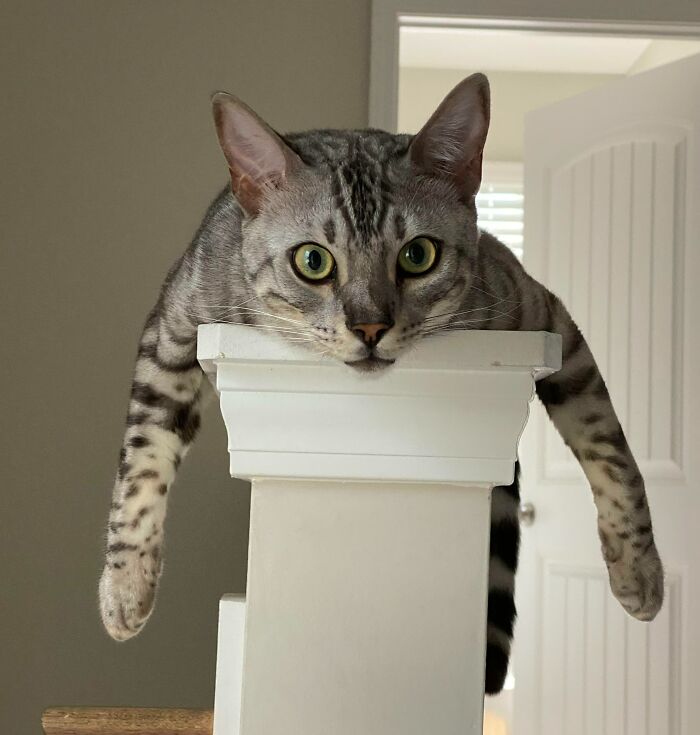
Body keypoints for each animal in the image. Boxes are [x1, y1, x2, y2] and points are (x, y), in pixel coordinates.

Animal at [97, 73, 660, 696]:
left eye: (418, 255)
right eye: (313, 261)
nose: (369, 327)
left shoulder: (543, 314)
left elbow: (609, 446)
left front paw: (640, 572)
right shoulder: (174, 326)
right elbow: (141, 465)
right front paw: (125, 589)